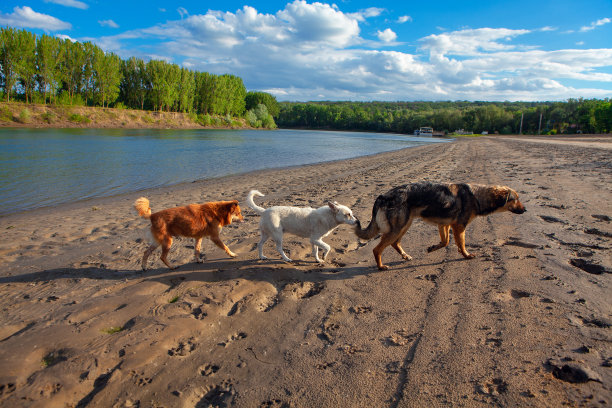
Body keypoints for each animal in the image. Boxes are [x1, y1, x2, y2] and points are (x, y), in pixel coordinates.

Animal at [354, 182, 524, 270]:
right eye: (515, 199)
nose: (525, 209)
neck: (476, 195)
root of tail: (382, 196)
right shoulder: (459, 227)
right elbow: (461, 244)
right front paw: (466, 255)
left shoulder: (445, 225)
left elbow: (445, 242)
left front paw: (432, 248)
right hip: (398, 227)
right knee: (377, 249)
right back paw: (381, 266)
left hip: (405, 225)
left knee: (395, 243)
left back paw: (405, 256)